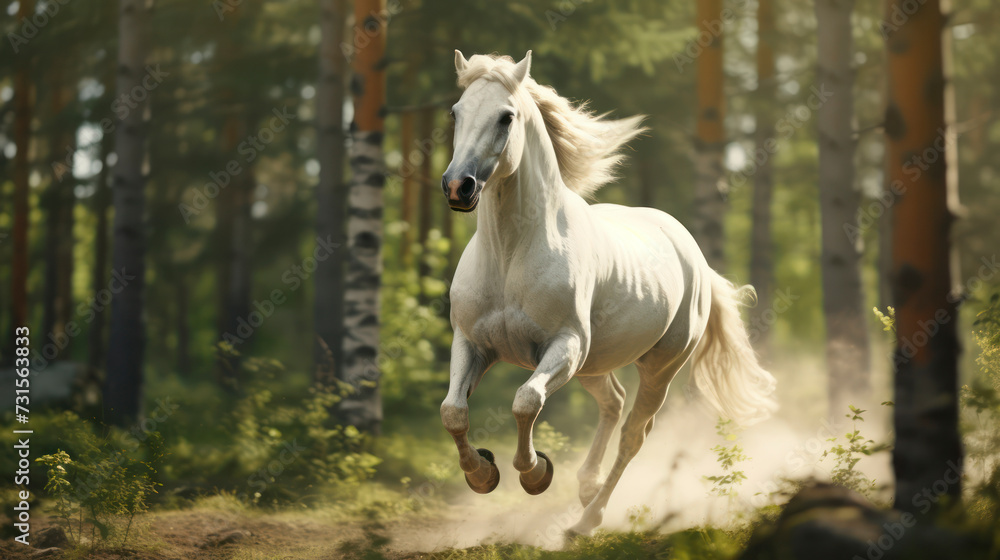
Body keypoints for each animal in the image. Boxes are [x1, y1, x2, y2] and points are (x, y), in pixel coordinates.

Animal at [438, 50, 777, 535]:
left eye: (506, 117)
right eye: (456, 112)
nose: (457, 186)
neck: (509, 254)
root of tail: (691, 253)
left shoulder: (565, 346)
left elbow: (526, 402)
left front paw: (536, 473)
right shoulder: (472, 343)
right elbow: (453, 411)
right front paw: (483, 474)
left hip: (657, 367)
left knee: (634, 433)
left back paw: (586, 520)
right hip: (593, 365)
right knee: (613, 403)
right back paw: (585, 486)